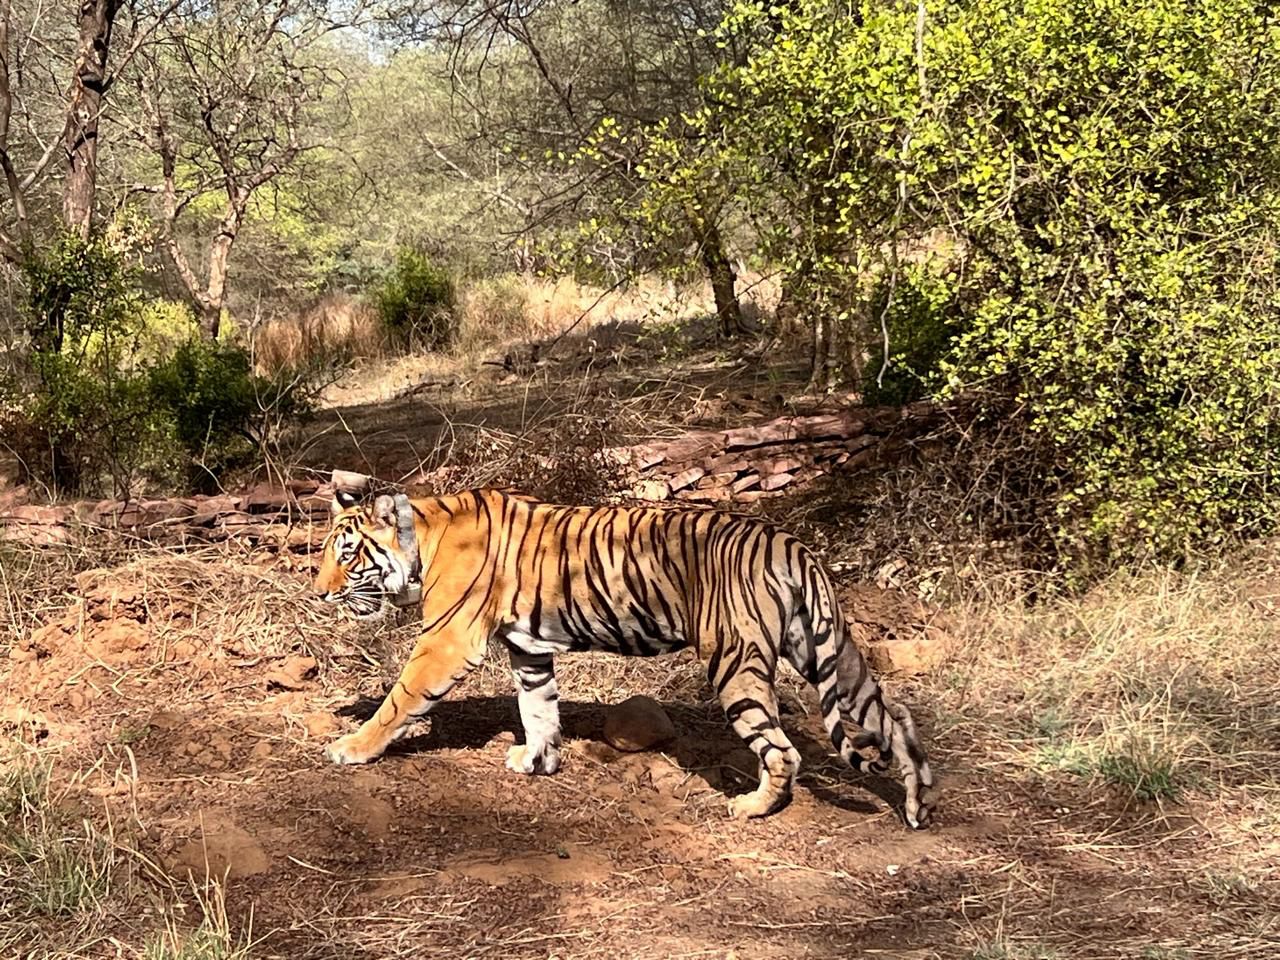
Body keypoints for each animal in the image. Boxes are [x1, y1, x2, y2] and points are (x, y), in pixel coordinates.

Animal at [313, 482, 935, 827]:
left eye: (347, 554)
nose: (317, 593)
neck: (422, 539)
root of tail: (792, 544)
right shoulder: (528, 648)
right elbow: (538, 708)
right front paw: (536, 760)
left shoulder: (446, 641)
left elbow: (399, 700)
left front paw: (351, 748)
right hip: (828, 652)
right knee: (895, 719)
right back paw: (919, 805)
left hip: (736, 663)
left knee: (783, 751)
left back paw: (753, 807)